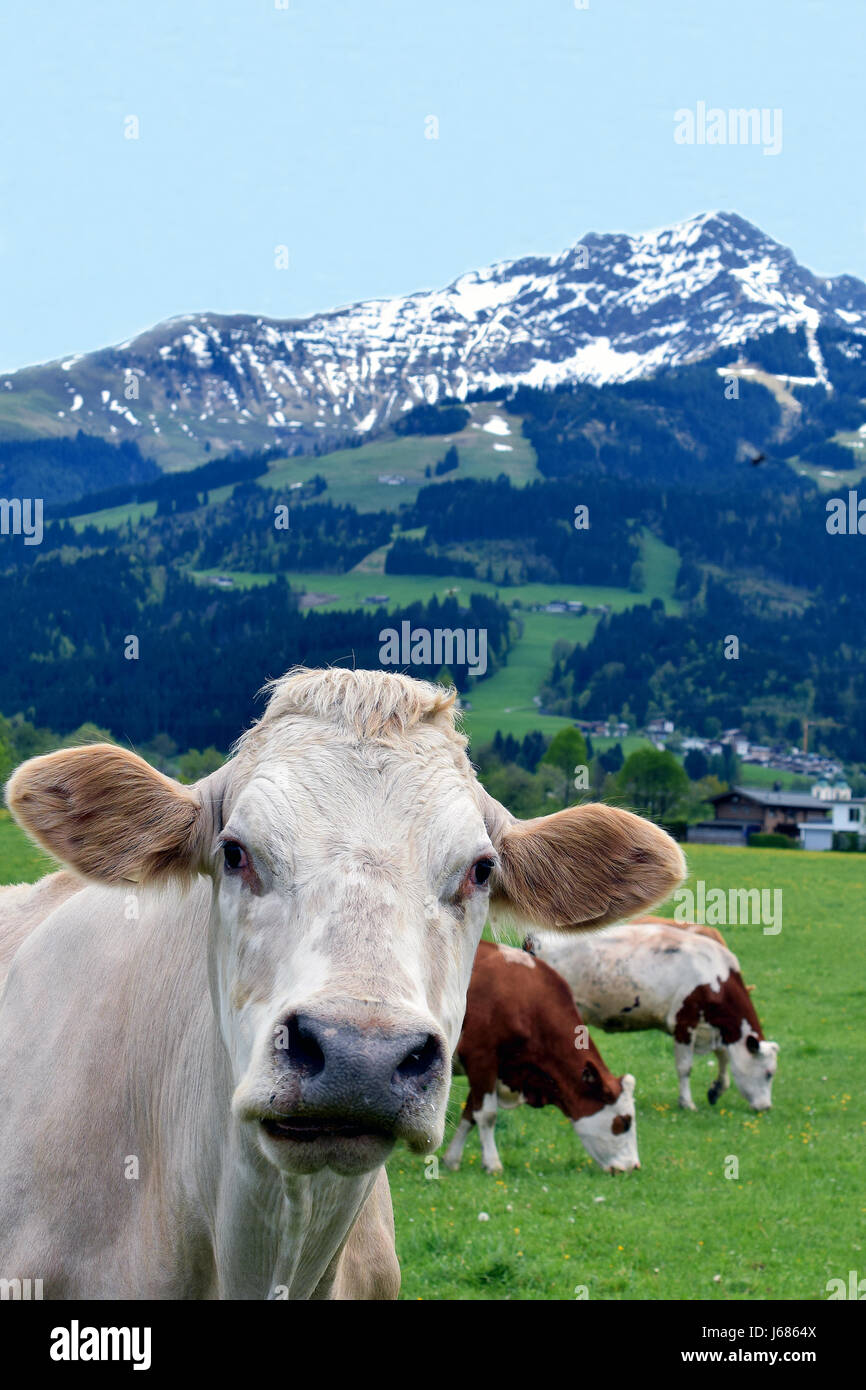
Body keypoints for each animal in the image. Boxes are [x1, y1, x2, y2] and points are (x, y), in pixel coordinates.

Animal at [444, 945, 639, 1173]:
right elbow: (486, 1115)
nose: (634, 1166)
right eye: (625, 1122)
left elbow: (469, 1114)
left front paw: (451, 1159)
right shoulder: (481, 1058)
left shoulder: (494, 1069)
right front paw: (493, 1164)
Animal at [525, 917, 783, 1112]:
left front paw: (716, 1089)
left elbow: (724, 1057)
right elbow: (685, 1067)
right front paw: (687, 1103)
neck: (714, 975)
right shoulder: (684, 1022)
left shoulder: (712, 1027)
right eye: (769, 1073)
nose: (766, 1107)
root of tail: (535, 938)